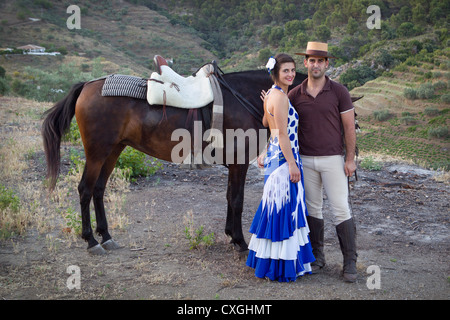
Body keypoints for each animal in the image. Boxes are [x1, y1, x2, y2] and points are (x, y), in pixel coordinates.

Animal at [42, 69, 308, 254]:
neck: (245, 97)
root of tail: (87, 86)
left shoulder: (234, 165)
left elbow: (229, 198)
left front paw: (230, 234)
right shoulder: (239, 163)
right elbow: (237, 200)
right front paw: (240, 241)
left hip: (113, 150)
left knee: (98, 189)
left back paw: (106, 236)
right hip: (97, 152)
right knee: (85, 190)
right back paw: (91, 240)